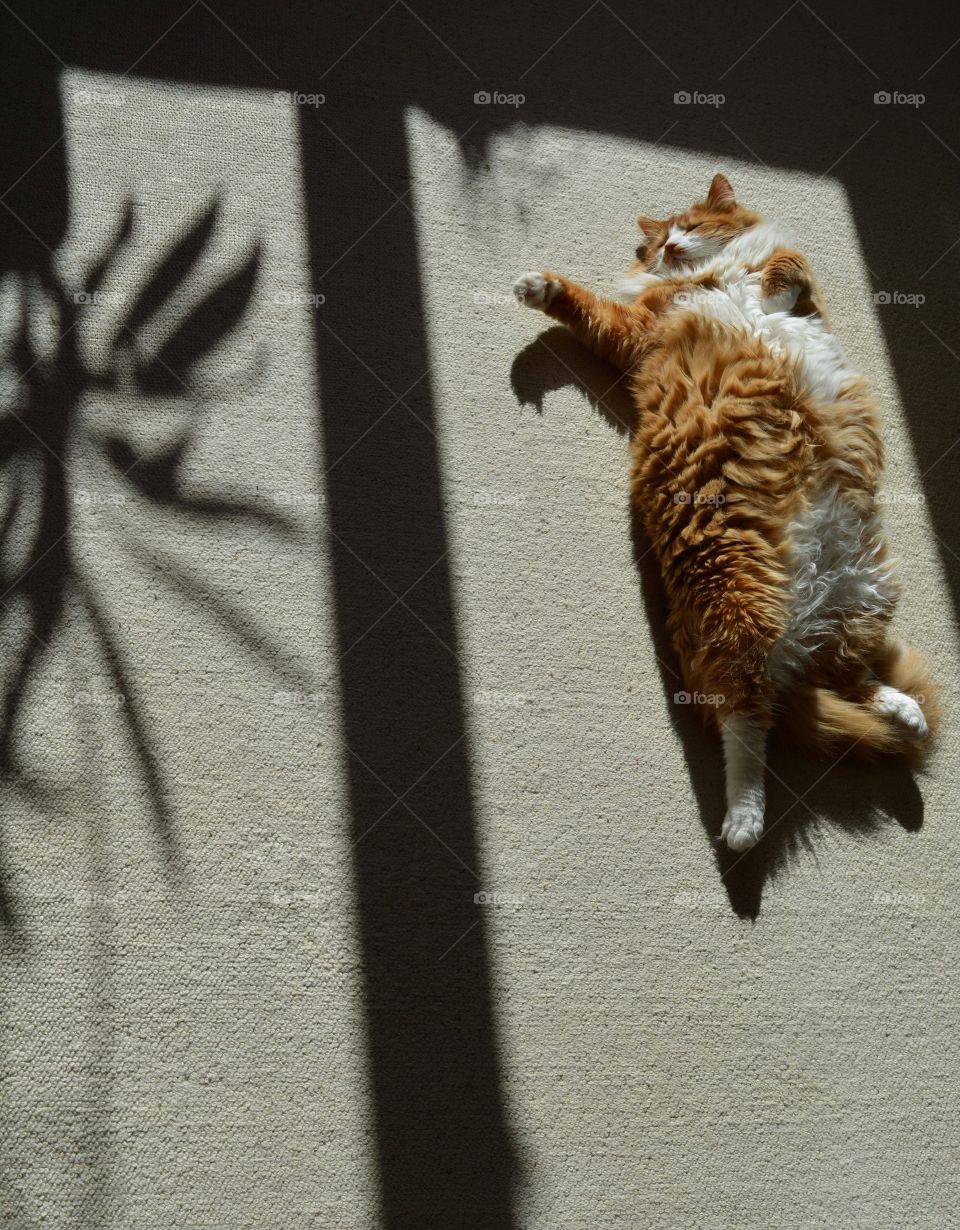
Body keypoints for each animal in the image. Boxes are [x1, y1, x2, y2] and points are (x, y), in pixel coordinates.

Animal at [514, 173, 935, 851]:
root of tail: (800, 616)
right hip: (742, 598)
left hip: (861, 597)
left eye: (688, 225)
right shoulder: (638, 329)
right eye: (658, 239)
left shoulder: (803, 291)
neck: (712, 272)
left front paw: (766, 286)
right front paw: (537, 285)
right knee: (745, 723)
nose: (672, 245)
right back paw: (743, 822)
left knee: (841, 680)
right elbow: (583, 305)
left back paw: (905, 712)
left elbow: (787, 266)